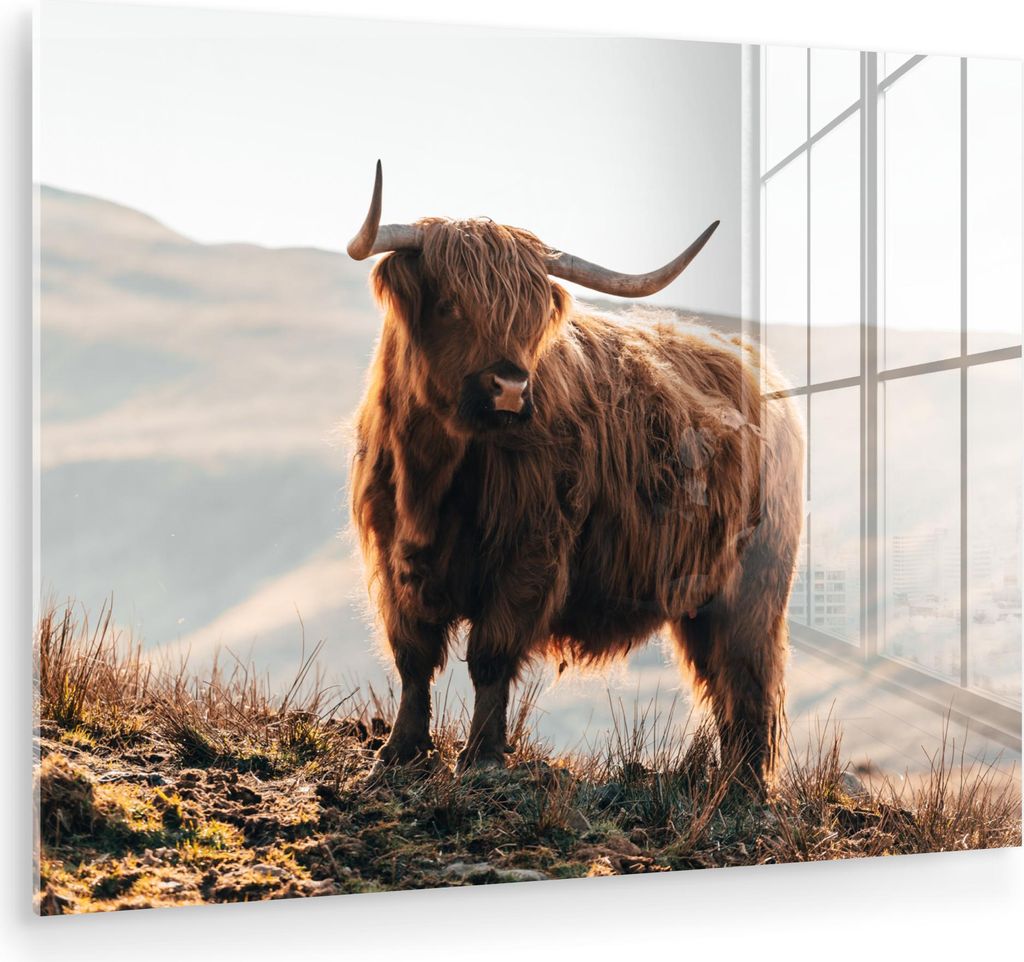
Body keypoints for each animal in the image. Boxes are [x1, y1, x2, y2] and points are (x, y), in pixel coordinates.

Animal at [347, 161, 804, 789]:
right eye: (450, 305)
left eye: (530, 317)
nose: (510, 386)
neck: (437, 471)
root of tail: (754, 362)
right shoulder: (396, 556)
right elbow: (413, 655)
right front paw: (399, 751)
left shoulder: (529, 553)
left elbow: (491, 656)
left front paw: (481, 757)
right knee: (723, 682)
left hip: (755, 586)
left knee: (748, 677)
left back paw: (744, 788)